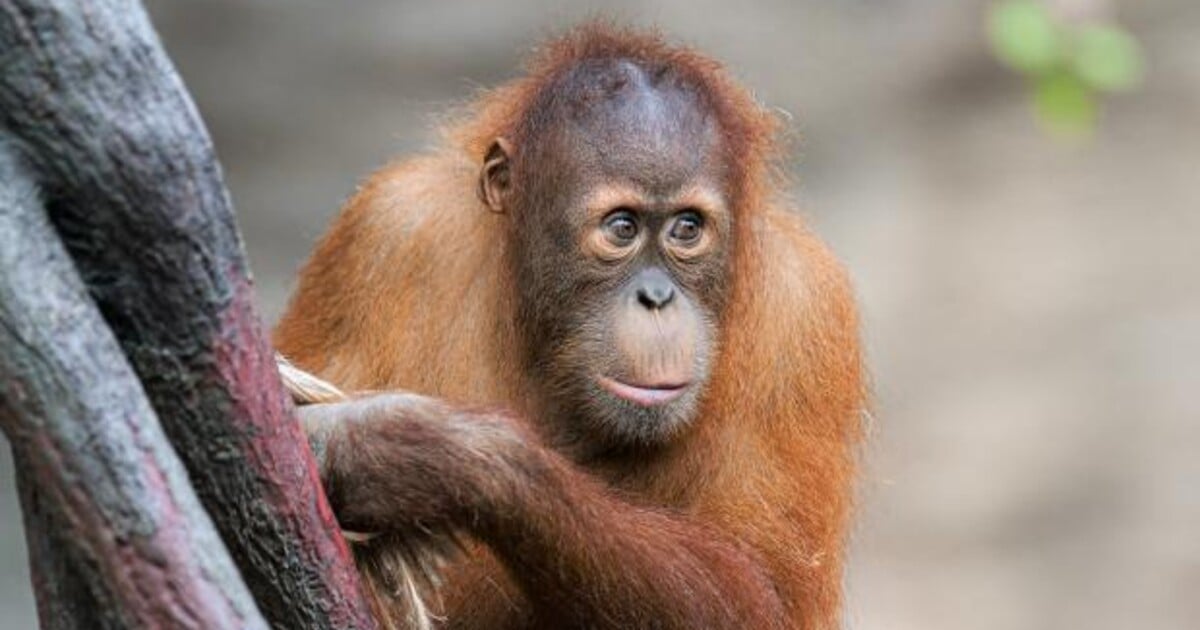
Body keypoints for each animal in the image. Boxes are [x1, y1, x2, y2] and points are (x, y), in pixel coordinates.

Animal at [275, 24, 865, 630]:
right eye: (622, 227)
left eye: (687, 228)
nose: (657, 297)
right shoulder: (383, 228)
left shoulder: (805, 311)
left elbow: (765, 592)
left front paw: (413, 447)